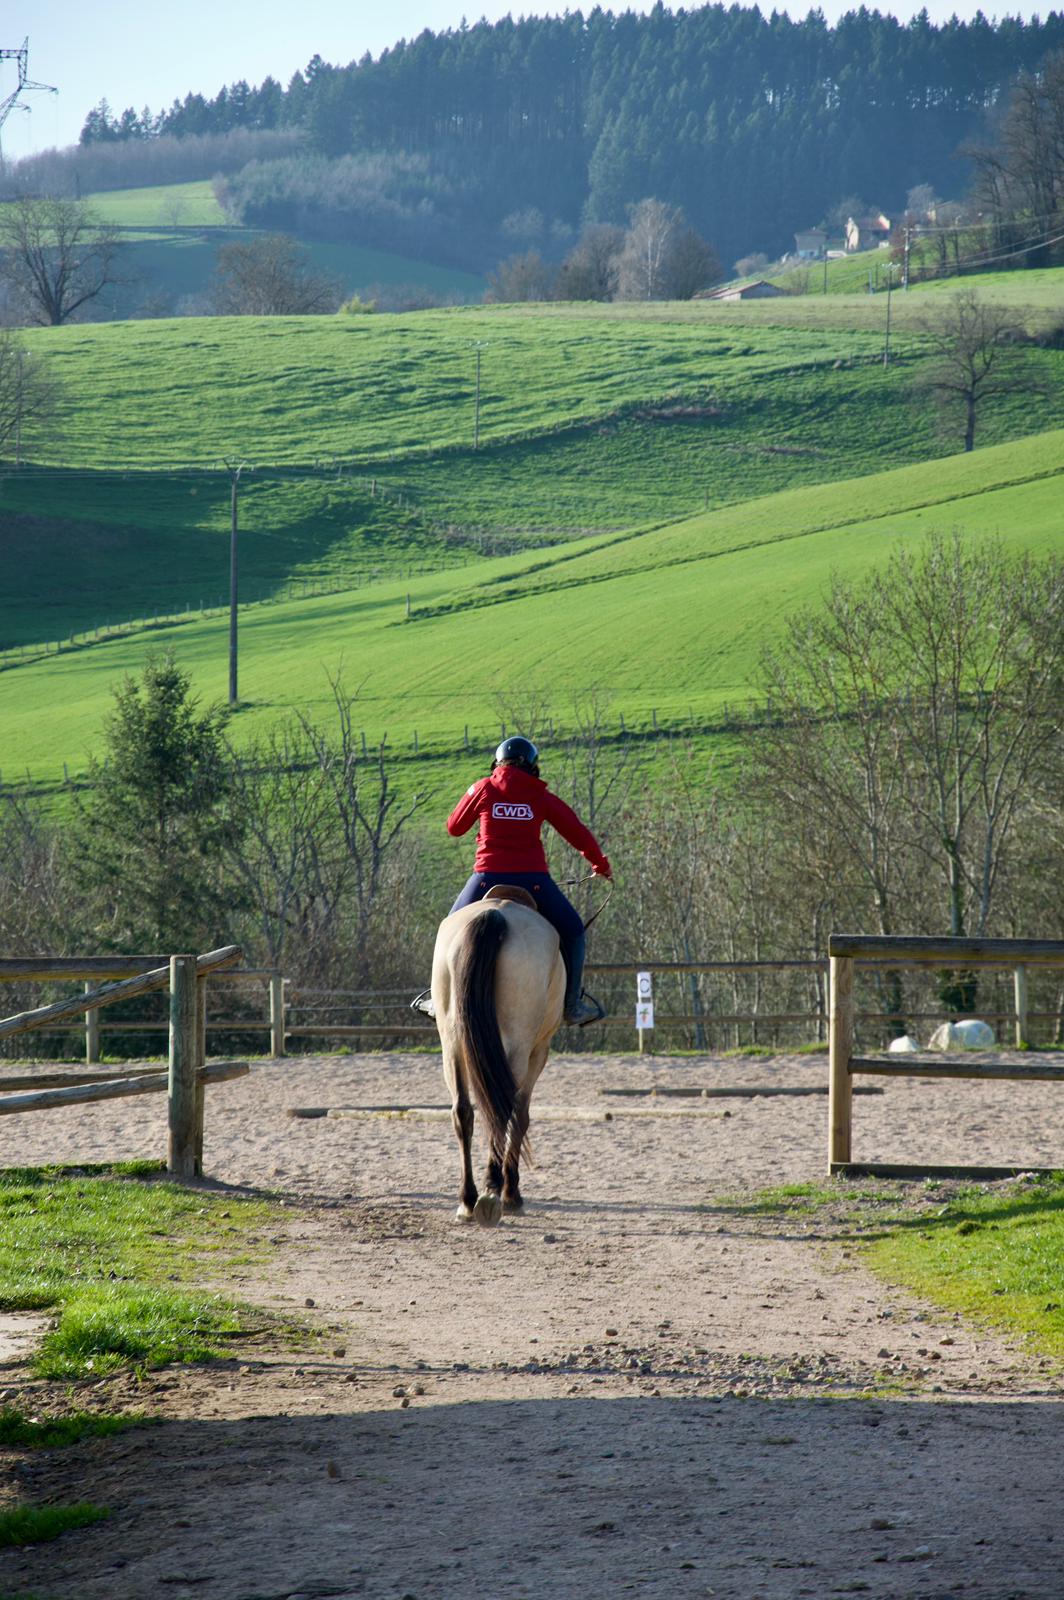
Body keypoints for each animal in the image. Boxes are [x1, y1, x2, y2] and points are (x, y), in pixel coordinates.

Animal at [430, 885, 565, 1226]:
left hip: (451, 1041)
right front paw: (512, 1192)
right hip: (518, 1044)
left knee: (463, 1111)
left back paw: (468, 1199)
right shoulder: (538, 1051)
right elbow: (521, 1116)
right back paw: (493, 1193)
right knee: (503, 1109)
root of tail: (494, 913)